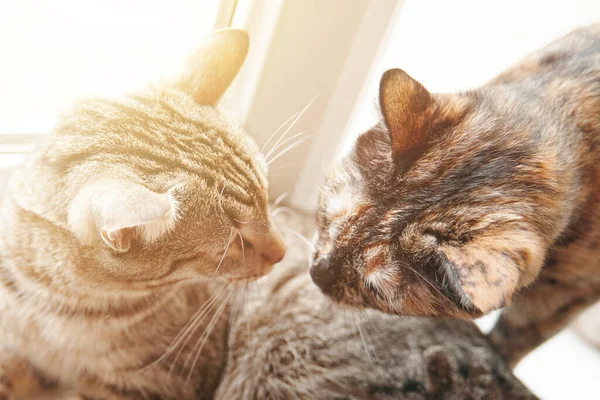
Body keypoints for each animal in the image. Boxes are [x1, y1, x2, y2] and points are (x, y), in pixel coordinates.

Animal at [312, 22, 596, 366]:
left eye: (373, 288)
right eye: (328, 218)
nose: (317, 273)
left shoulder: (562, 296)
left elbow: (515, 338)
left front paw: (493, 361)